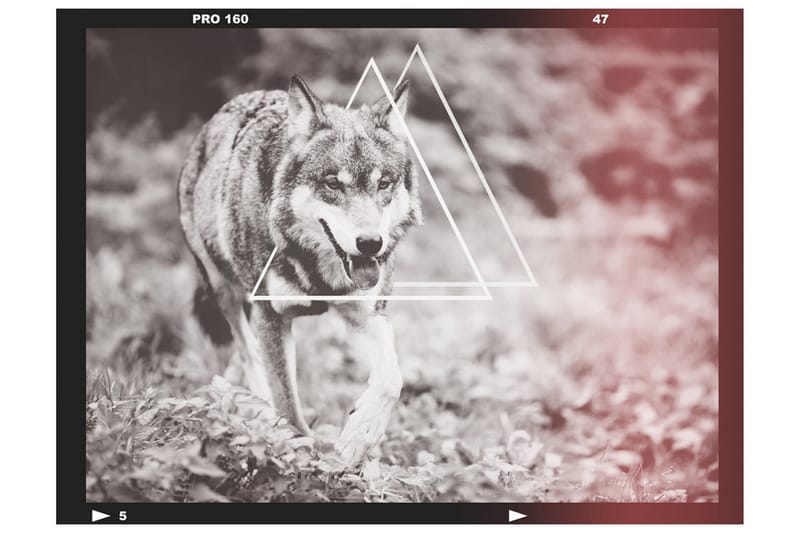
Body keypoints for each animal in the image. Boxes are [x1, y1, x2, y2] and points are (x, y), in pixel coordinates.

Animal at [178, 75, 422, 464]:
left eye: (383, 183)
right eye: (333, 183)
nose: (371, 243)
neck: (316, 268)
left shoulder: (365, 313)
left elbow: (391, 379)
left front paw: (359, 436)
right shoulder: (271, 316)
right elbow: (288, 404)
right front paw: (297, 453)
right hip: (223, 289)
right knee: (247, 350)